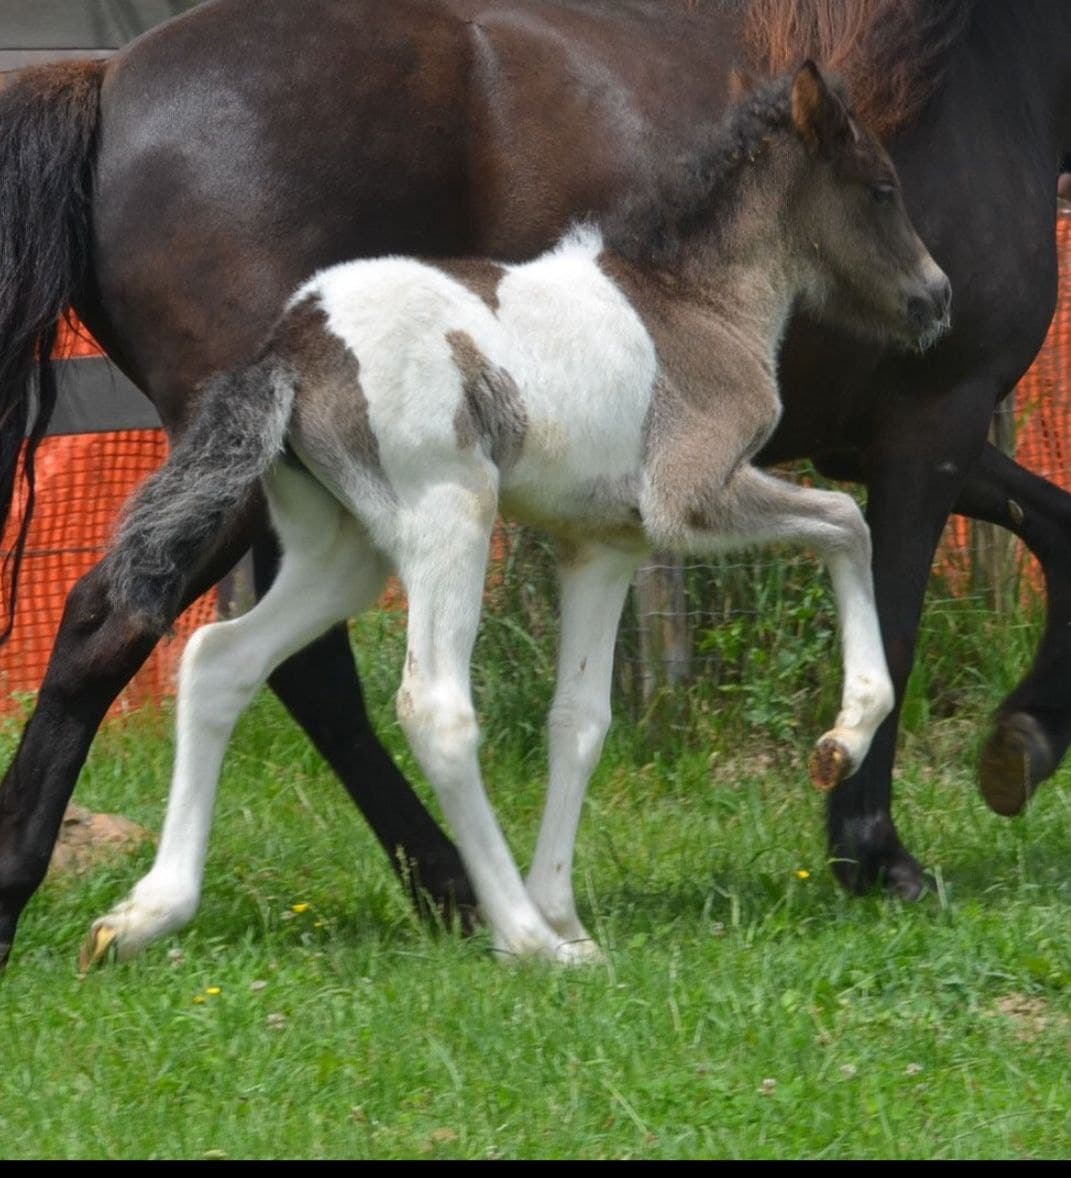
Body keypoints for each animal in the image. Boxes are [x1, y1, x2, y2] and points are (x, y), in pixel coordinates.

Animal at [0, 0, 1068, 968]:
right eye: (881, 187)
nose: (934, 299)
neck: (690, 299)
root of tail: (291, 351)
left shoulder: (606, 543)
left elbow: (578, 721)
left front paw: (570, 913)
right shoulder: (760, 479)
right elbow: (861, 549)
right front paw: (864, 804)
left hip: (340, 549)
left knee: (227, 656)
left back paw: (151, 914)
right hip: (444, 523)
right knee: (407, 698)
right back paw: (504, 926)